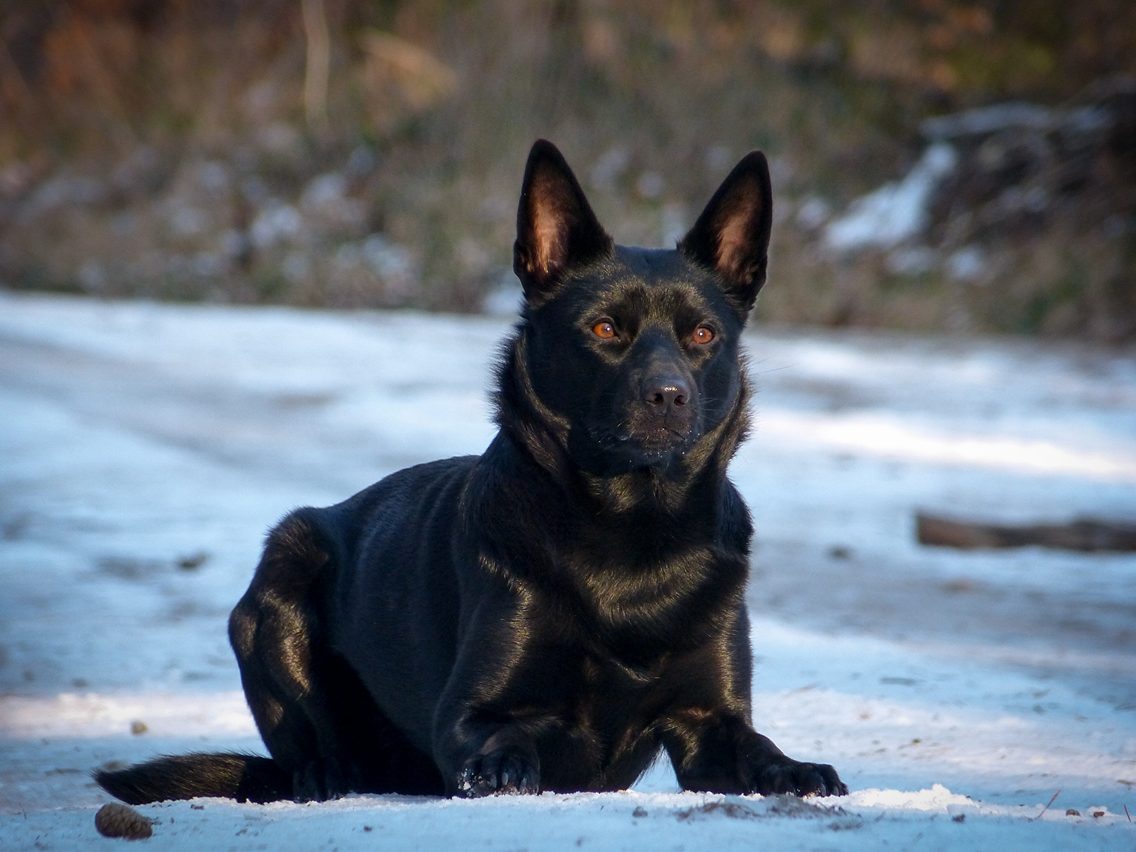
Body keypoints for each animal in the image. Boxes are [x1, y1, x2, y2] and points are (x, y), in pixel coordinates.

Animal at [97, 140, 845, 808]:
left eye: (702, 336)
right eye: (605, 329)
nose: (669, 396)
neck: (633, 532)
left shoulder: (708, 722)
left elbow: (754, 746)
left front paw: (795, 768)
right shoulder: (471, 713)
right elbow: (500, 741)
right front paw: (502, 770)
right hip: (281, 582)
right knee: (314, 750)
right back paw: (327, 777)